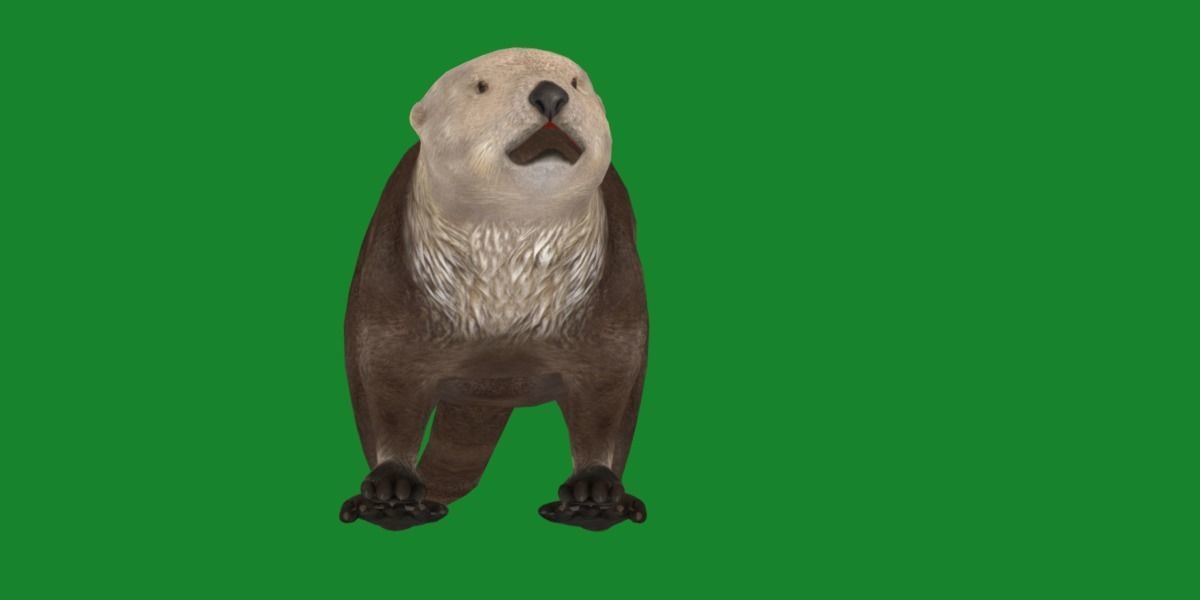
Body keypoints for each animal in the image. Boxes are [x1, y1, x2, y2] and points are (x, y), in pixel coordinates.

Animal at [338, 48, 648, 531]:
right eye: (481, 86)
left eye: (576, 82)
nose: (550, 94)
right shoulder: (387, 302)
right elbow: (386, 392)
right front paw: (392, 488)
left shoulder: (611, 312)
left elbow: (606, 402)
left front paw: (593, 491)